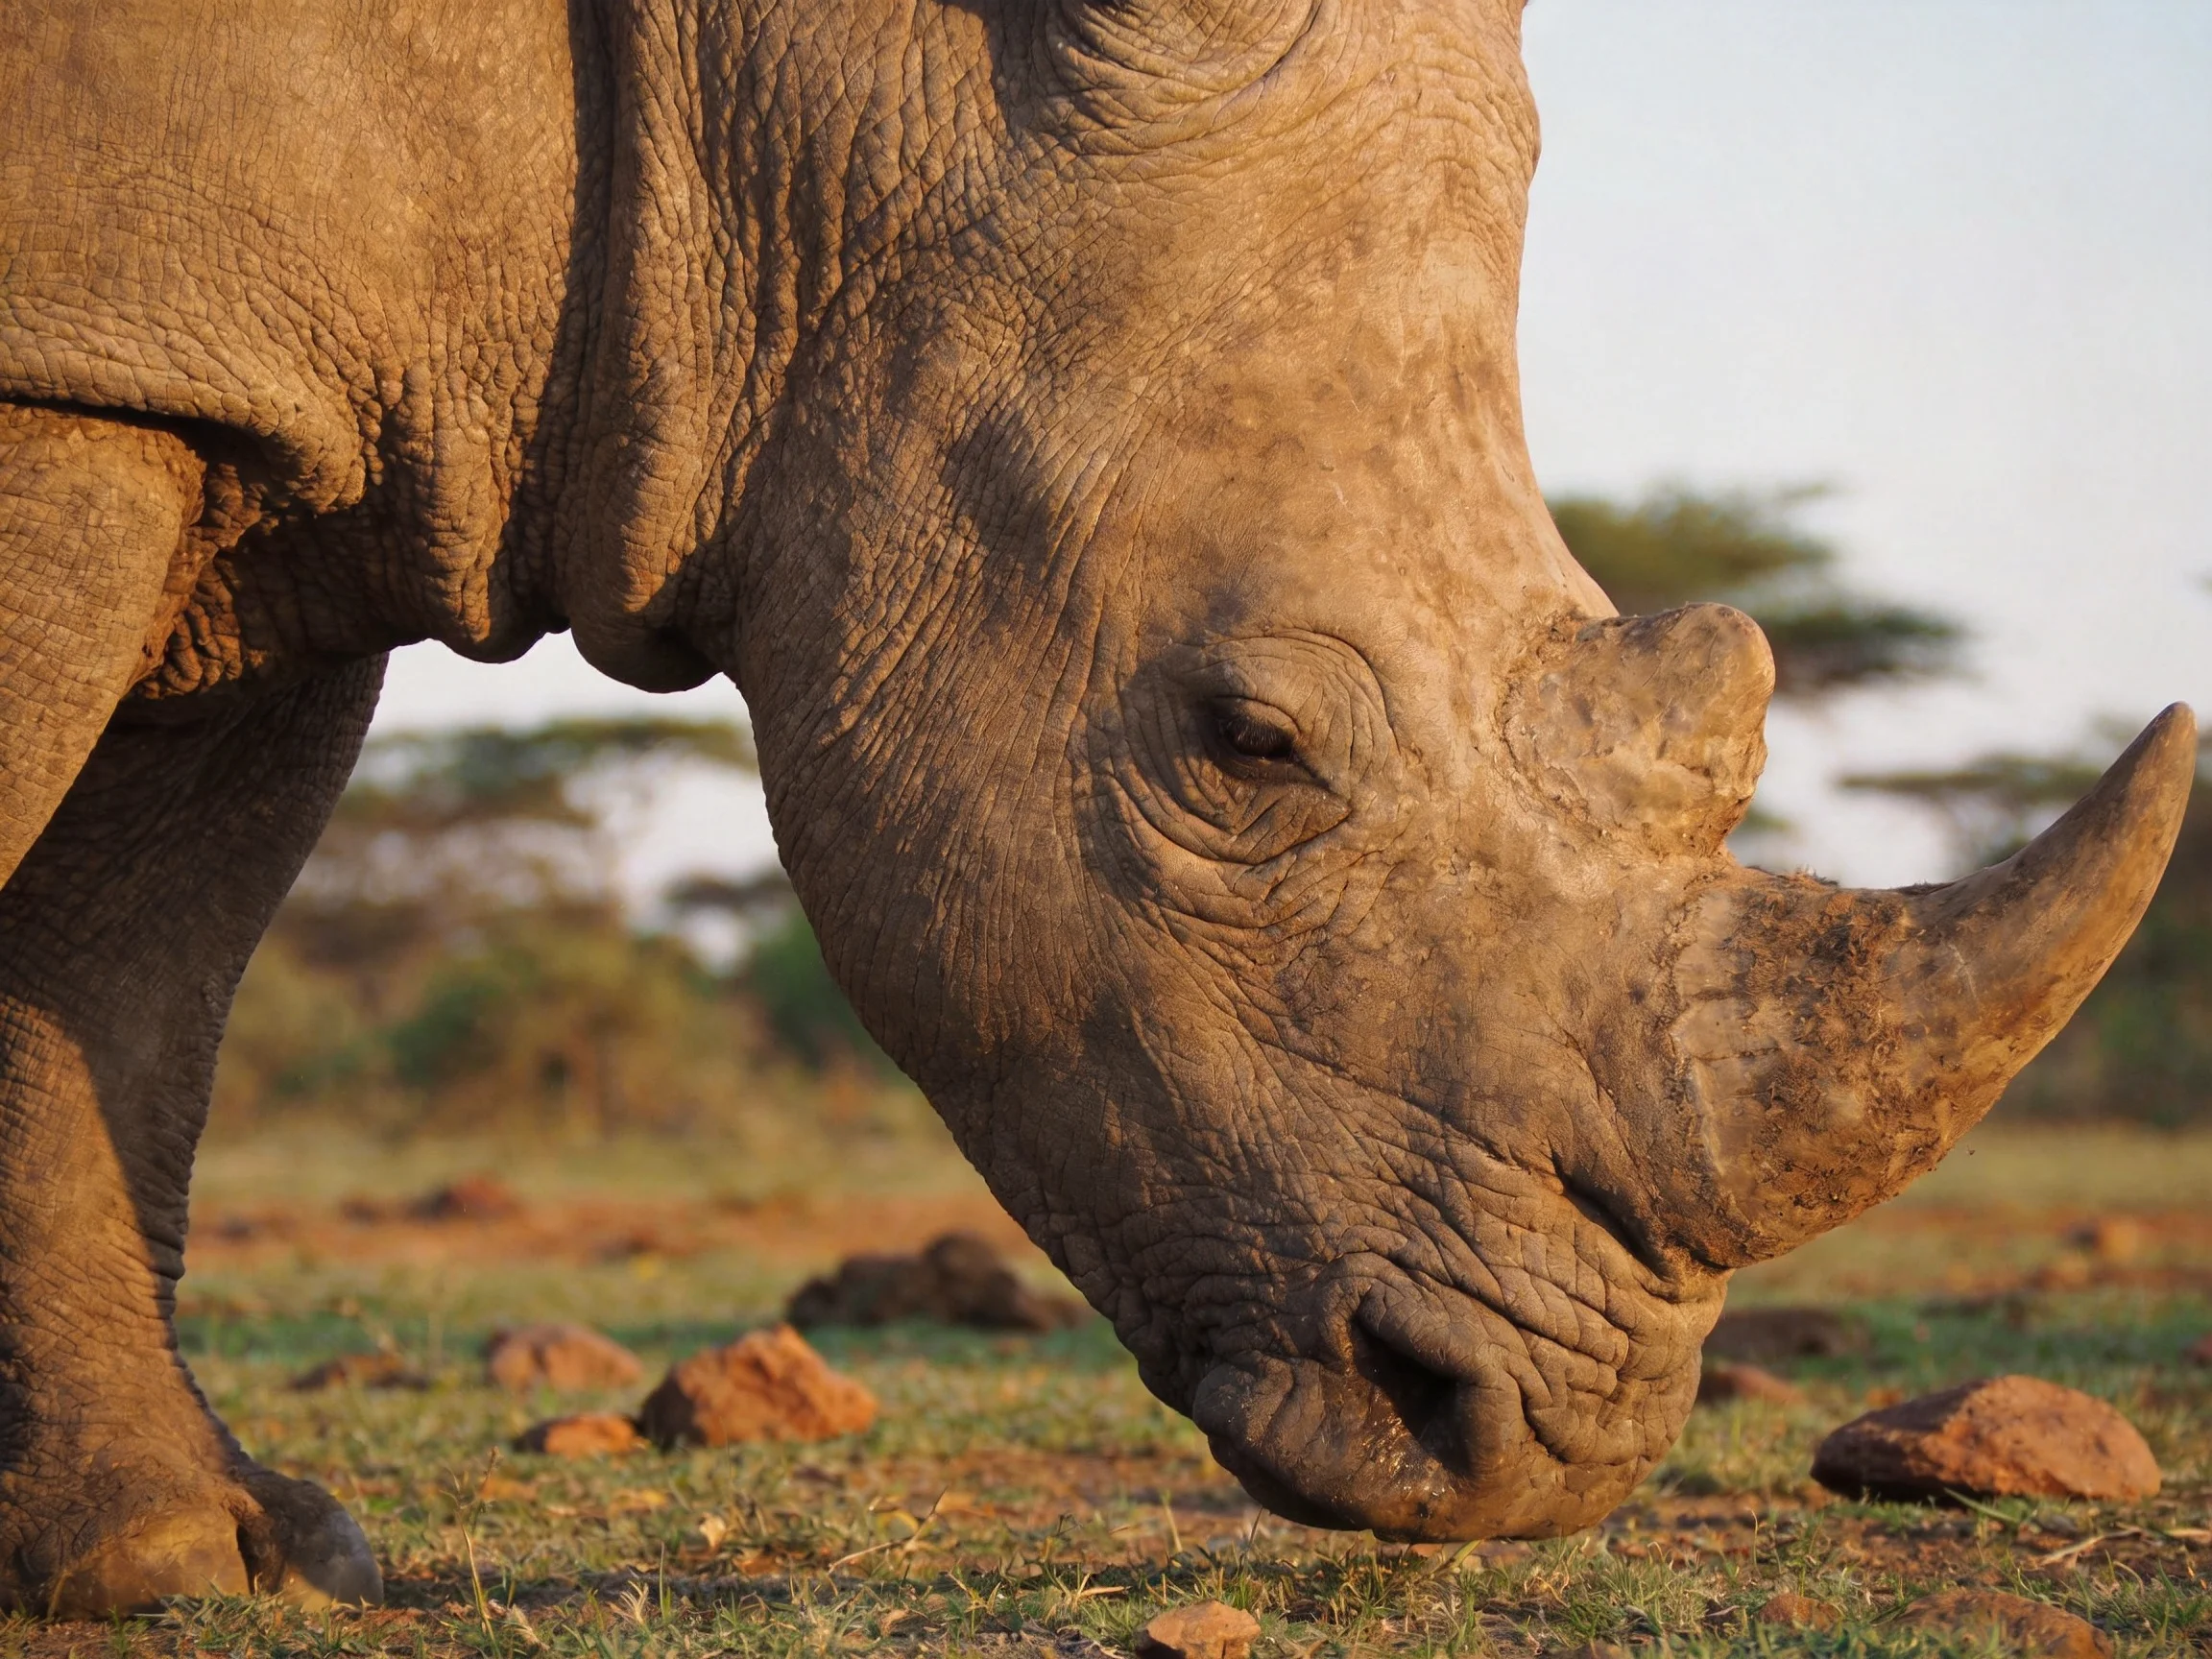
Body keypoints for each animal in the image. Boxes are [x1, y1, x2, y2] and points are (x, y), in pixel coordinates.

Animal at [0, 0, 2191, 1617]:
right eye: (1246, 745)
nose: (1541, 1455)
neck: (761, 94)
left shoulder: (259, 393)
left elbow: (129, 973)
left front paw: (202, 1554)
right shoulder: (93, 360)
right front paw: (170, 1556)